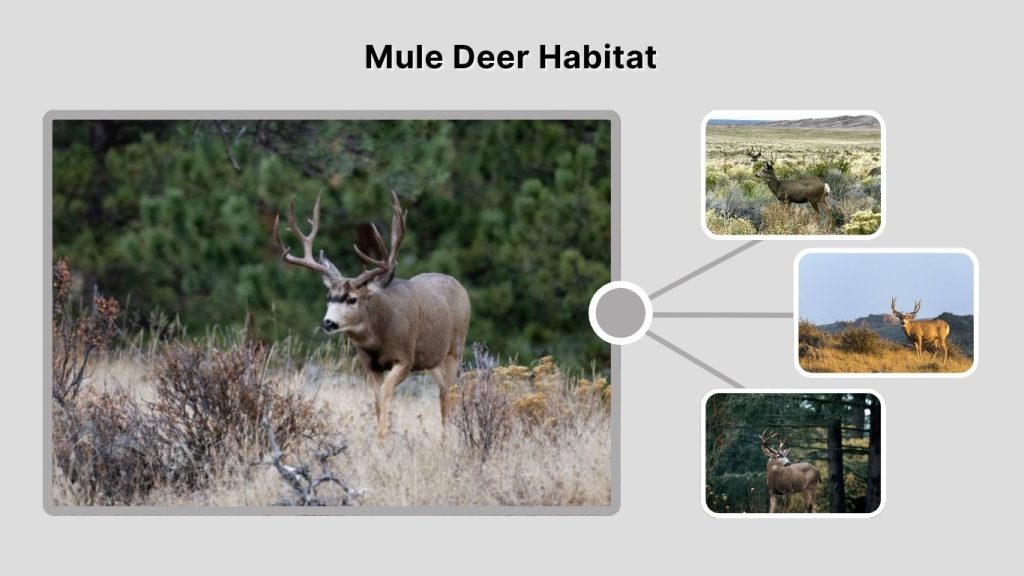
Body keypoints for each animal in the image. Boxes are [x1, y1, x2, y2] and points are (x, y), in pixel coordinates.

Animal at [273, 191, 471, 438]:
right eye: (328, 297)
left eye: (352, 299)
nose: (328, 323)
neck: (378, 337)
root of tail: (460, 286)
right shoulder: (370, 364)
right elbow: (376, 399)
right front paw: (380, 437)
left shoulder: (405, 357)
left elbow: (386, 392)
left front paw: (383, 436)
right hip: (432, 360)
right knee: (443, 390)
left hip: (455, 348)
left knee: (451, 391)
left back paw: (448, 437)